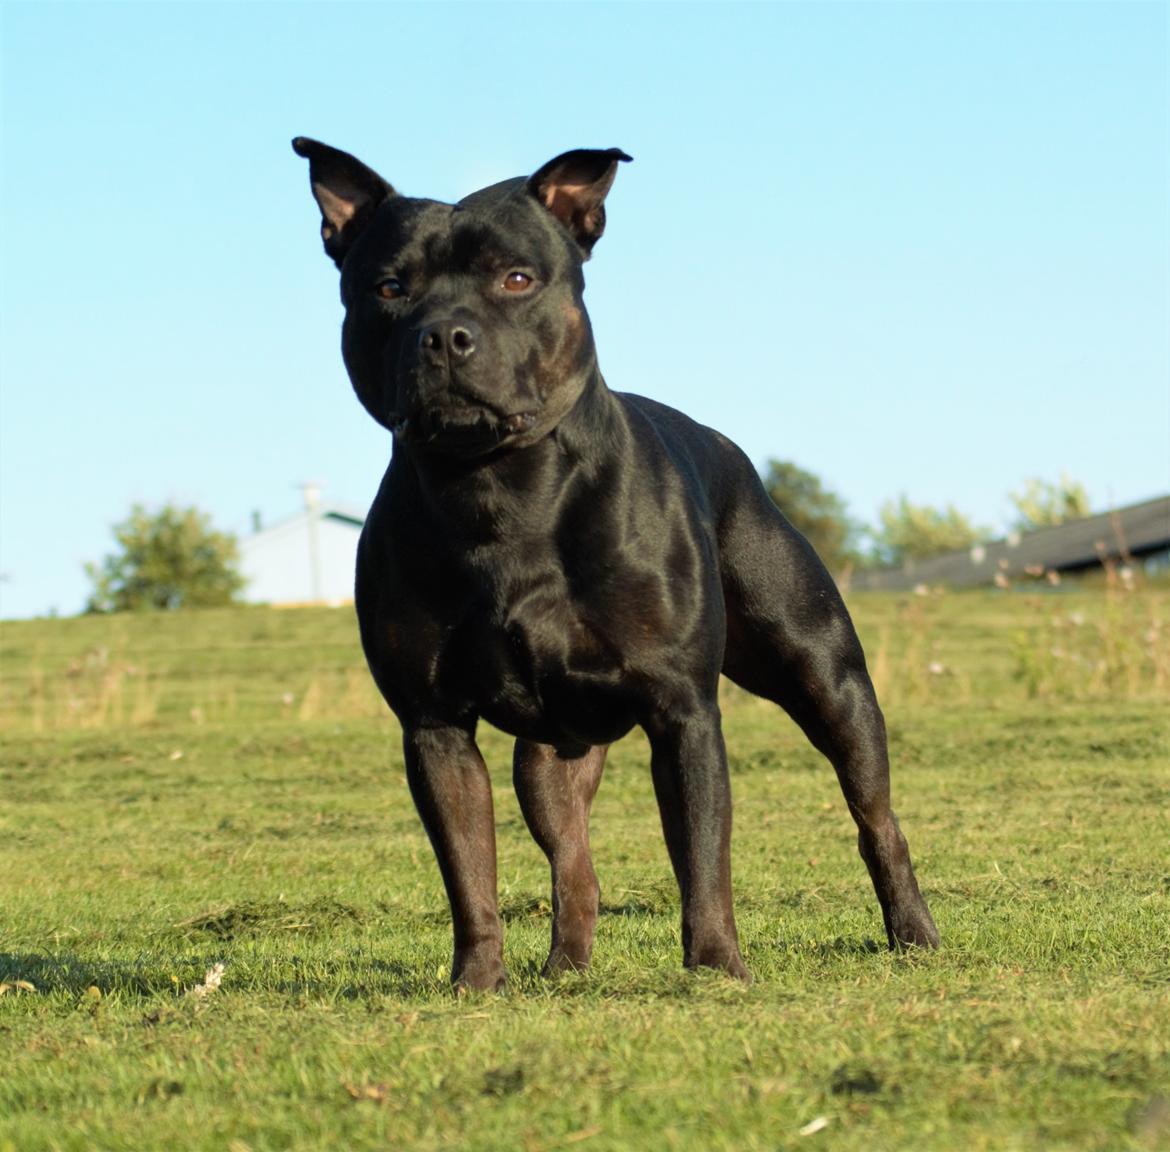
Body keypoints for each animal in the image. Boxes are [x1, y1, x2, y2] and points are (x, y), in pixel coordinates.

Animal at [294, 136, 940, 987]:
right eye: (390, 287)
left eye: (517, 278)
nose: (445, 336)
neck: (497, 489)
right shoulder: (434, 725)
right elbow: (468, 872)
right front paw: (476, 983)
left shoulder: (682, 711)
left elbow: (701, 855)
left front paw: (716, 969)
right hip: (546, 758)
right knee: (574, 861)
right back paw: (563, 969)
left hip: (826, 677)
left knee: (875, 813)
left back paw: (914, 932)